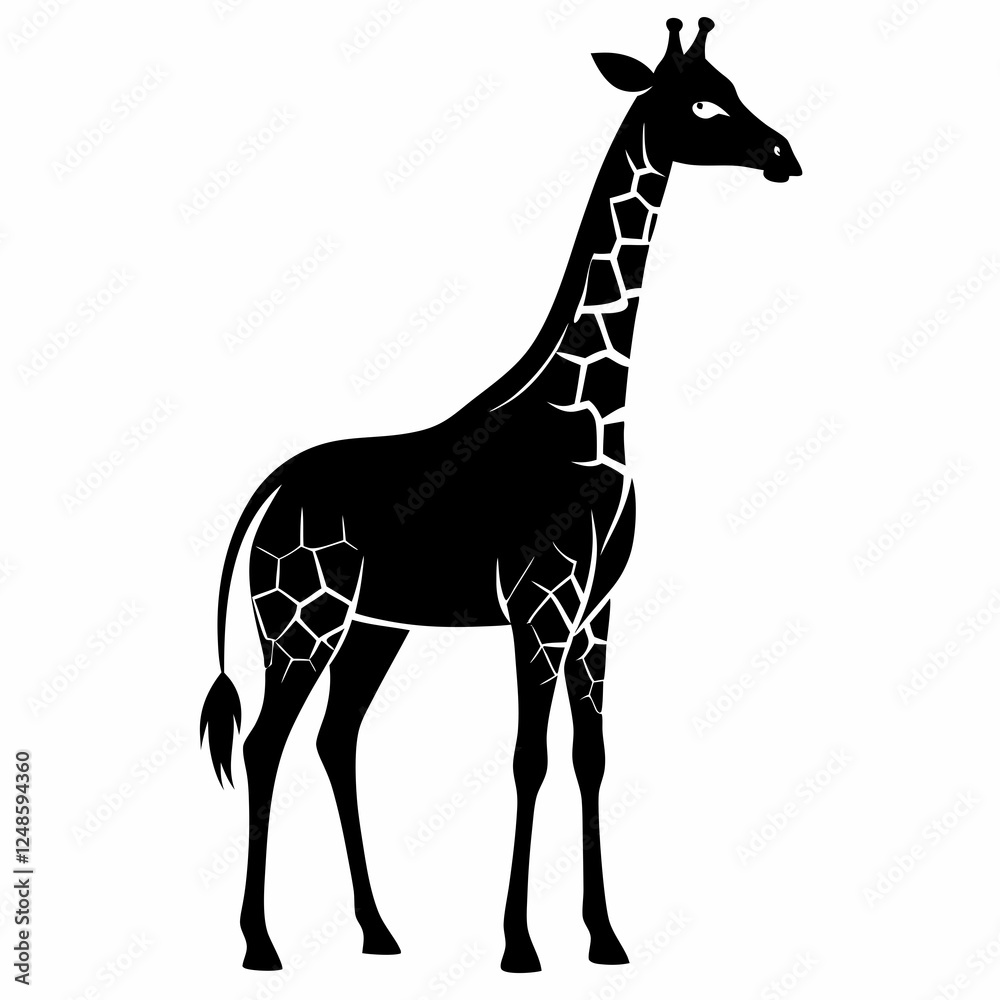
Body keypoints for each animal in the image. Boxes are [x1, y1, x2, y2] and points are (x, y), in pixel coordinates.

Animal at [200, 16, 801, 974]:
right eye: (705, 103)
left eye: (735, 89)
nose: (785, 155)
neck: (591, 409)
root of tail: (270, 491)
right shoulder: (540, 604)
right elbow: (528, 759)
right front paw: (520, 945)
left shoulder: (595, 609)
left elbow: (591, 757)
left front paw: (605, 938)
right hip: (302, 618)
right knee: (264, 745)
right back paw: (261, 944)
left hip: (376, 628)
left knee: (335, 741)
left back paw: (378, 932)